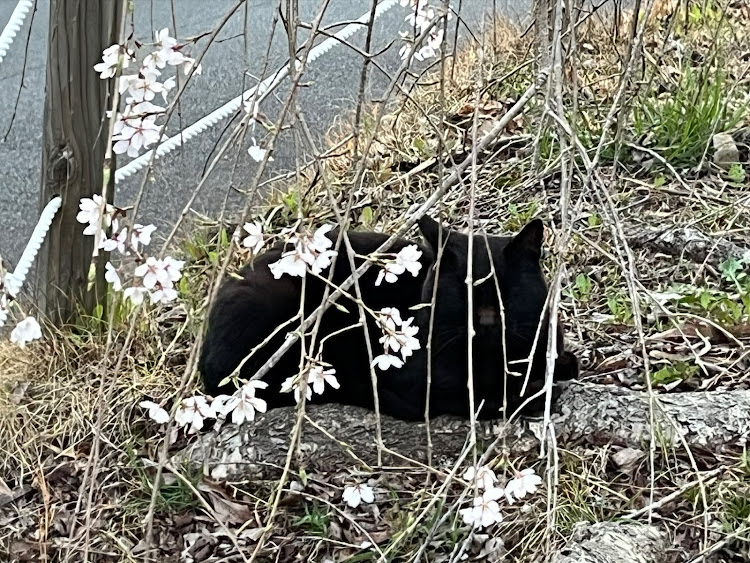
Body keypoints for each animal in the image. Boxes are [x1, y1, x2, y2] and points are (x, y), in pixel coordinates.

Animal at [198, 218, 576, 420]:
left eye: (506, 295)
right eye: (461, 294)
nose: (483, 323)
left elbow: (566, 362)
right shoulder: (423, 384)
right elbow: (488, 398)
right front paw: (534, 393)